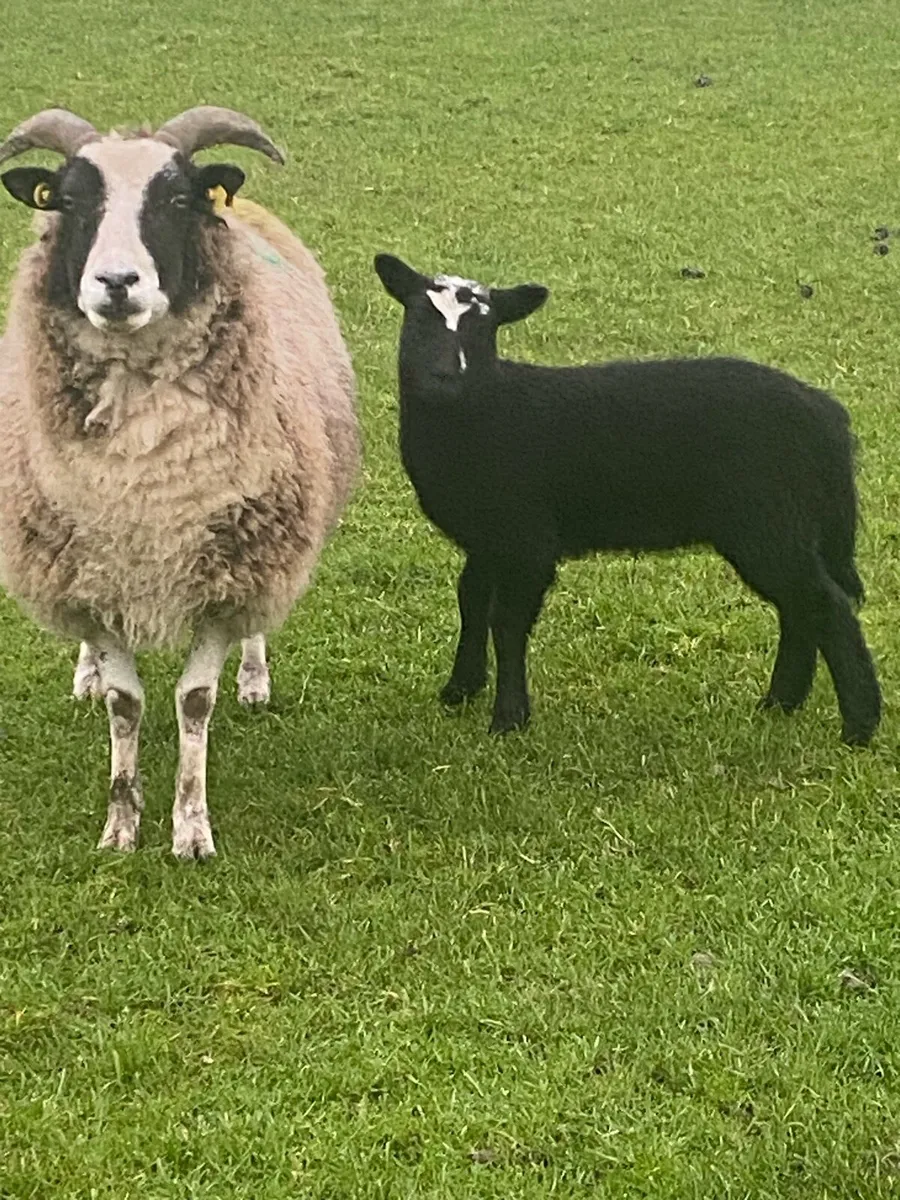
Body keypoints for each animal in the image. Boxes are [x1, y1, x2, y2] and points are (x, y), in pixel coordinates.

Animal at [0, 107, 360, 858]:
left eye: (175, 200)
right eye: (70, 201)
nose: (116, 283)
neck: (146, 477)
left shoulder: (230, 572)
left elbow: (195, 700)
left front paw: (191, 827)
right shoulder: (91, 576)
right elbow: (124, 702)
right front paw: (120, 824)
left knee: (255, 630)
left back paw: (254, 679)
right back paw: (84, 673)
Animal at [373, 253, 881, 746]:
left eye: (485, 329)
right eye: (418, 317)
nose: (444, 375)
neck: (481, 414)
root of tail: (827, 416)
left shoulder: (528, 539)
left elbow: (508, 621)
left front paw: (509, 718)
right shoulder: (488, 537)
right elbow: (471, 601)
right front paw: (460, 689)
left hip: (768, 522)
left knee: (826, 605)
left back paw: (858, 726)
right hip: (782, 527)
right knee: (800, 609)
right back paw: (781, 703)